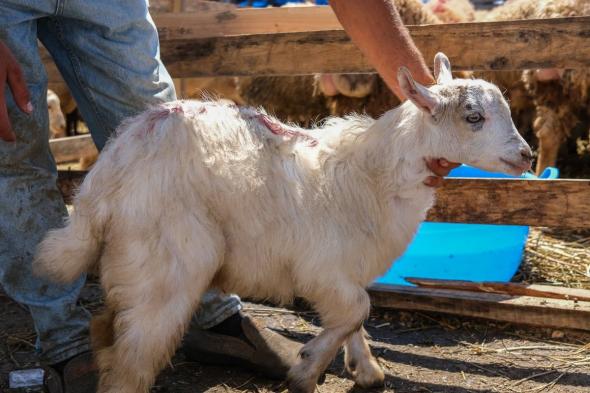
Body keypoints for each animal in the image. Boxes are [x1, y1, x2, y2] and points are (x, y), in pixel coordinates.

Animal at [34, 52, 536, 392]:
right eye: (474, 117)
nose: (528, 155)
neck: (371, 176)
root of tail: (106, 174)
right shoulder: (323, 266)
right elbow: (356, 310)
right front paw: (307, 367)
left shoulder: (347, 267)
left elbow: (355, 316)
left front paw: (366, 369)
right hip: (166, 265)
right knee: (130, 359)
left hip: (135, 265)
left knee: (108, 327)